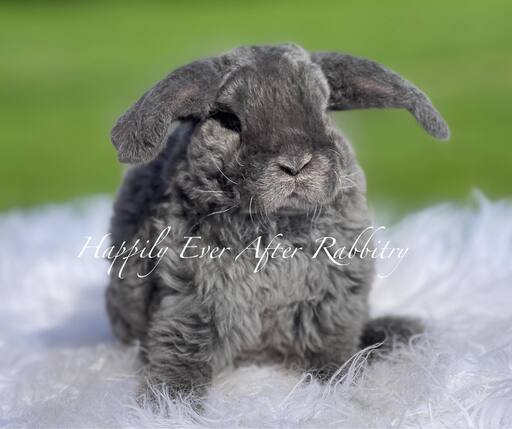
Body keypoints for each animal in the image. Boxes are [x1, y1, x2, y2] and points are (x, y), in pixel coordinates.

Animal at [106, 43, 450, 398]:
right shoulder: (187, 299)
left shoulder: (334, 301)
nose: (296, 164)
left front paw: (337, 382)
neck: (276, 226)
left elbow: (331, 348)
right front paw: (170, 401)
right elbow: (181, 351)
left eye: (323, 111)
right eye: (229, 120)